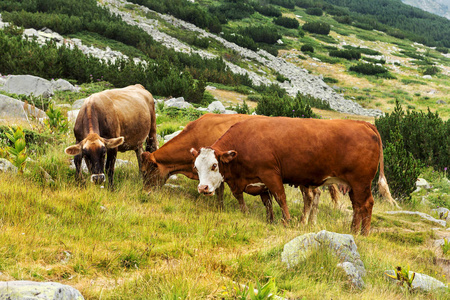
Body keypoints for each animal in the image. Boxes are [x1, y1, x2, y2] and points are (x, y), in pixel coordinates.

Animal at [192, 116, 396, 236]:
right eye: (196, 167)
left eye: (214, 165)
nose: (203, 188)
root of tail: (364, 123)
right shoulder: (253, 182)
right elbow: (261, 202)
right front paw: (262, 218)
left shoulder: (270, 173)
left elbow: (280, 197)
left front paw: (287, 221)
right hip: (352, 184)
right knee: (357, 206)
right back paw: (352, 231)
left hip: (361, 182)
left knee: (366, 204)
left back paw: (363, 233)